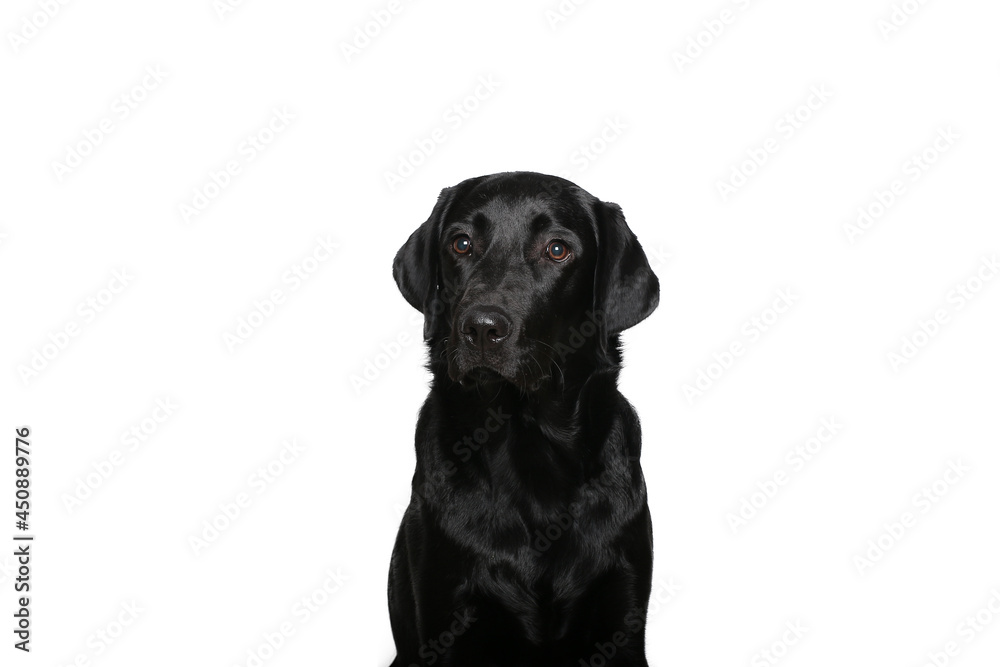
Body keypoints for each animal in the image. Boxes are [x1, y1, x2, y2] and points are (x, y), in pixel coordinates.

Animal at [386, 172, 660, 667]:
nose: (481, 328)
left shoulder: (622, 613)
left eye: (557, 249)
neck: (525, 440)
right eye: (460, 243)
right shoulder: (446, 610)